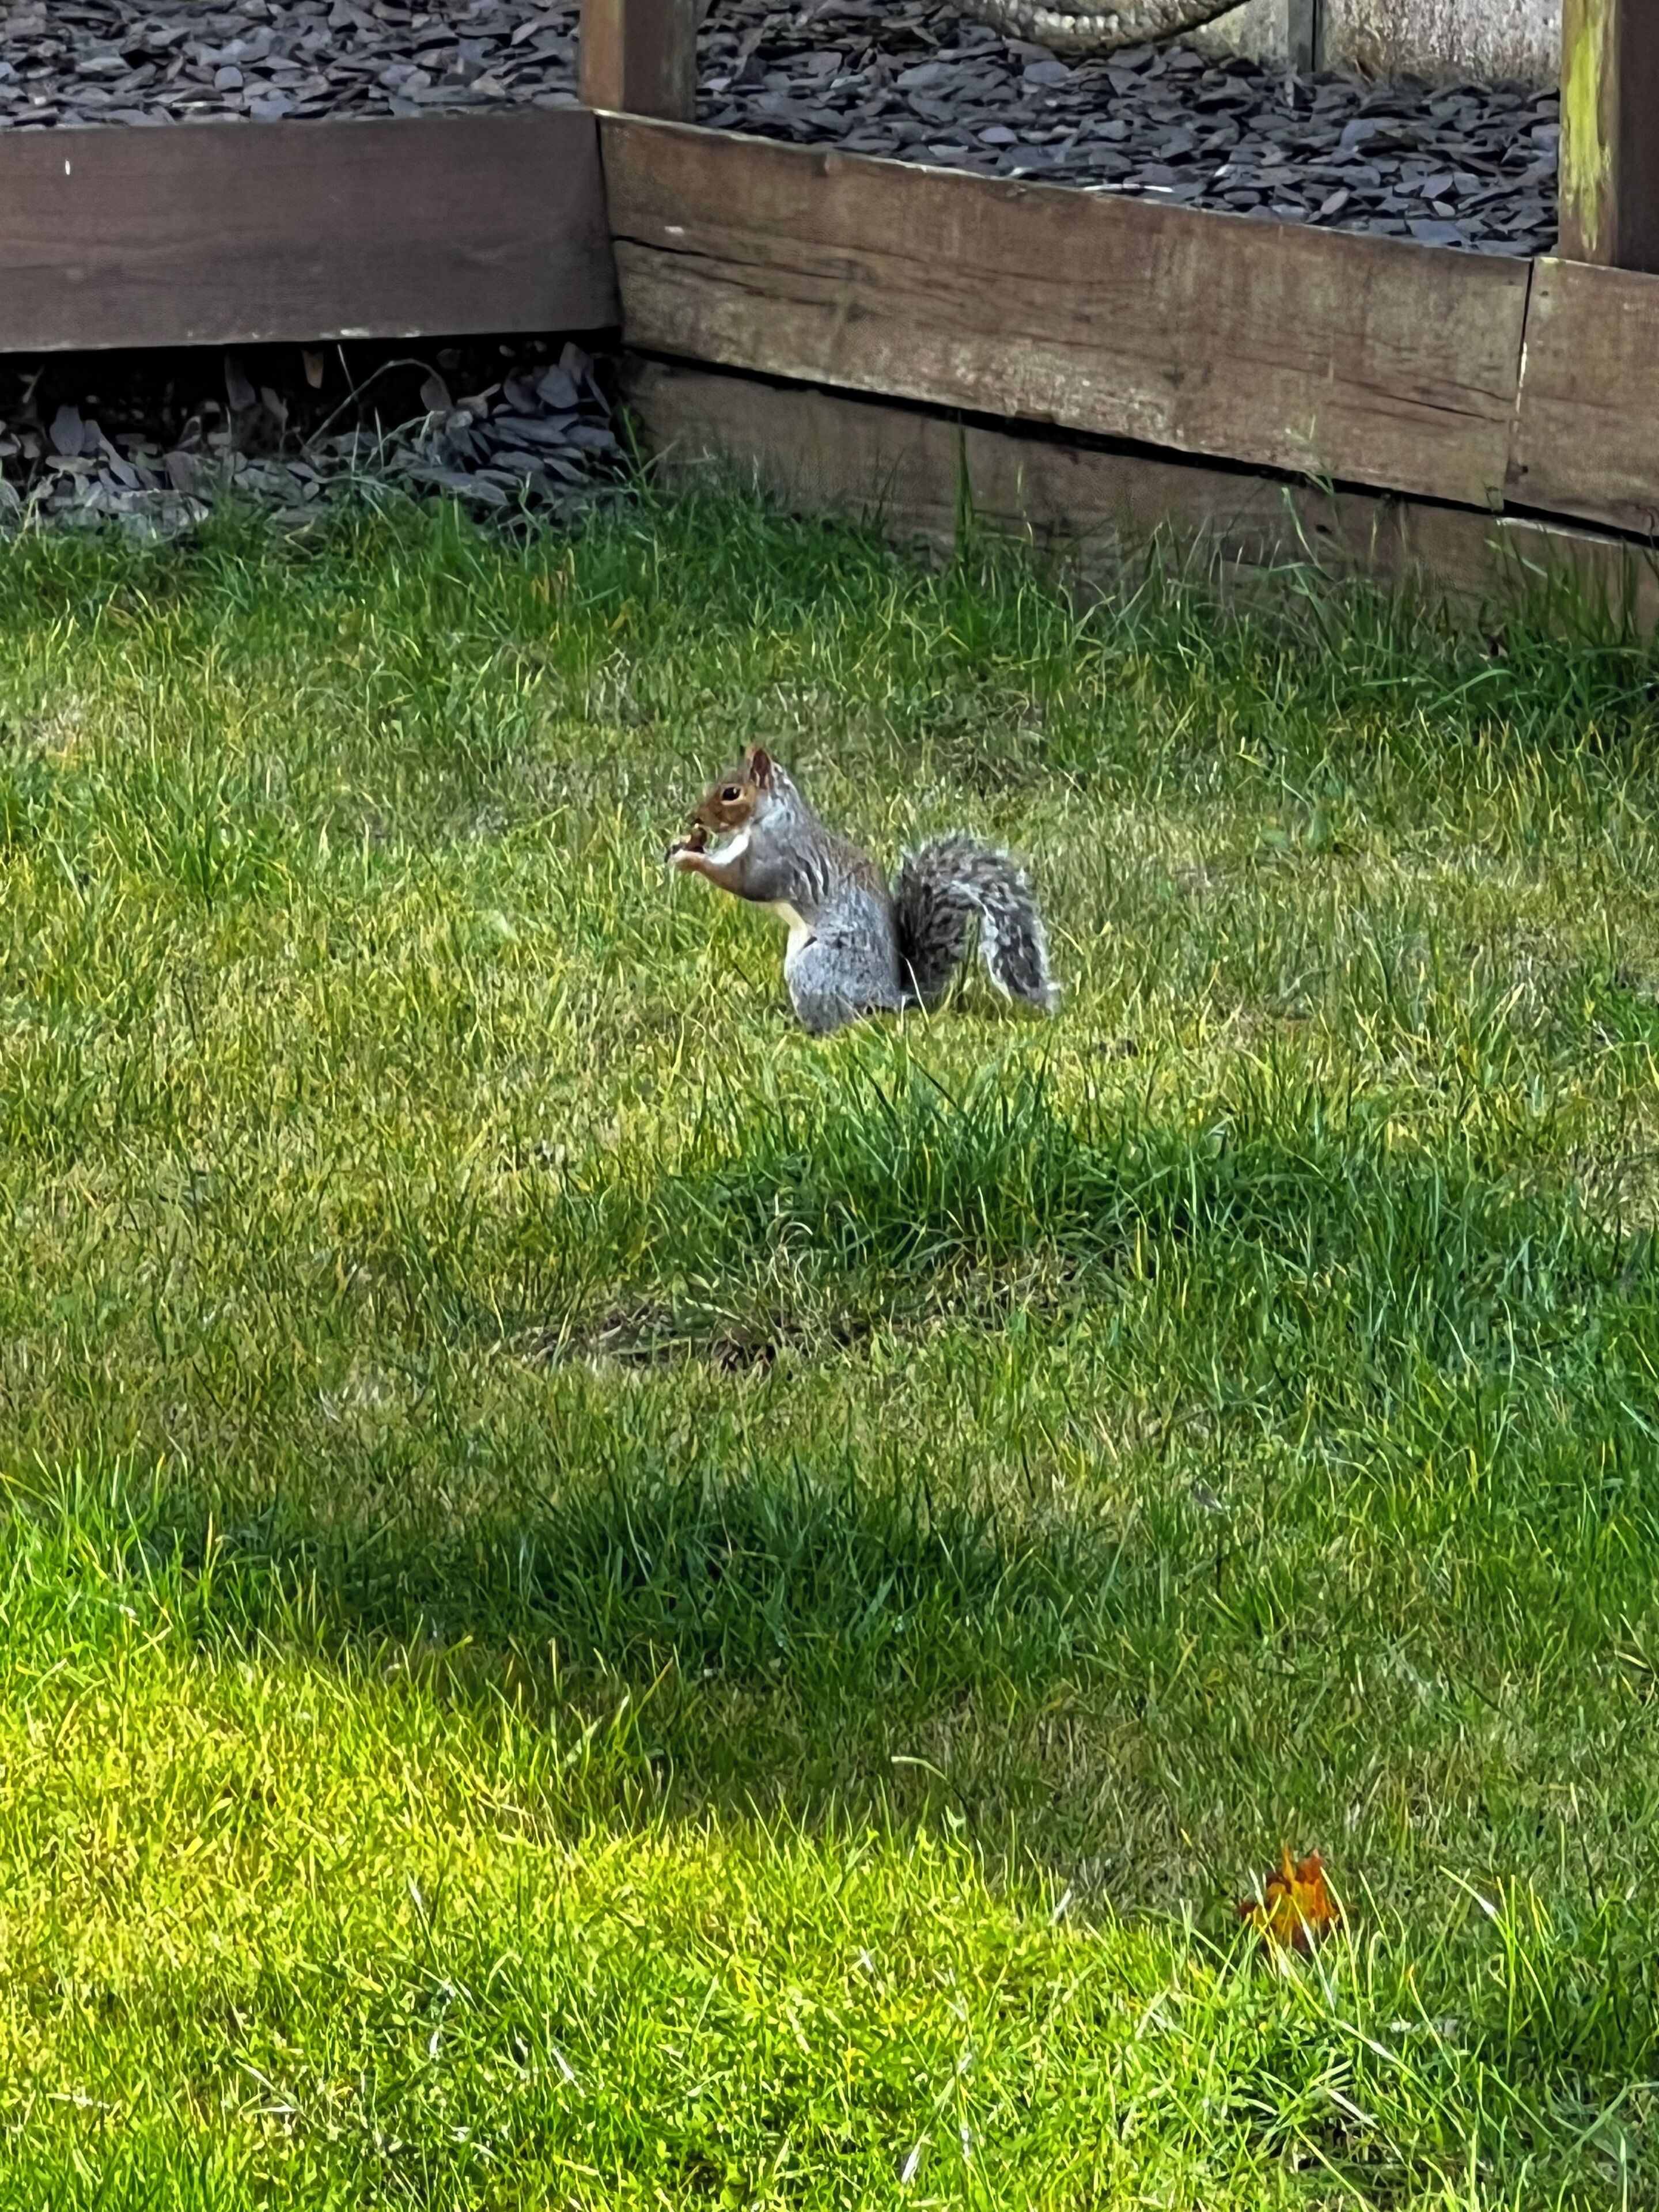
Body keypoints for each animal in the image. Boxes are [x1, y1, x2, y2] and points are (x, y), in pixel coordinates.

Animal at [668, 745, 1058, 1035]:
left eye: (731, 793)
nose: (696, 818)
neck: (771, 815)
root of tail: (892, 998)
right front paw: (684, 846)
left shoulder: (776, 857)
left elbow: (746, 881)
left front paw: (690, 860)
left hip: (816, 968)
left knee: (839, 1019)